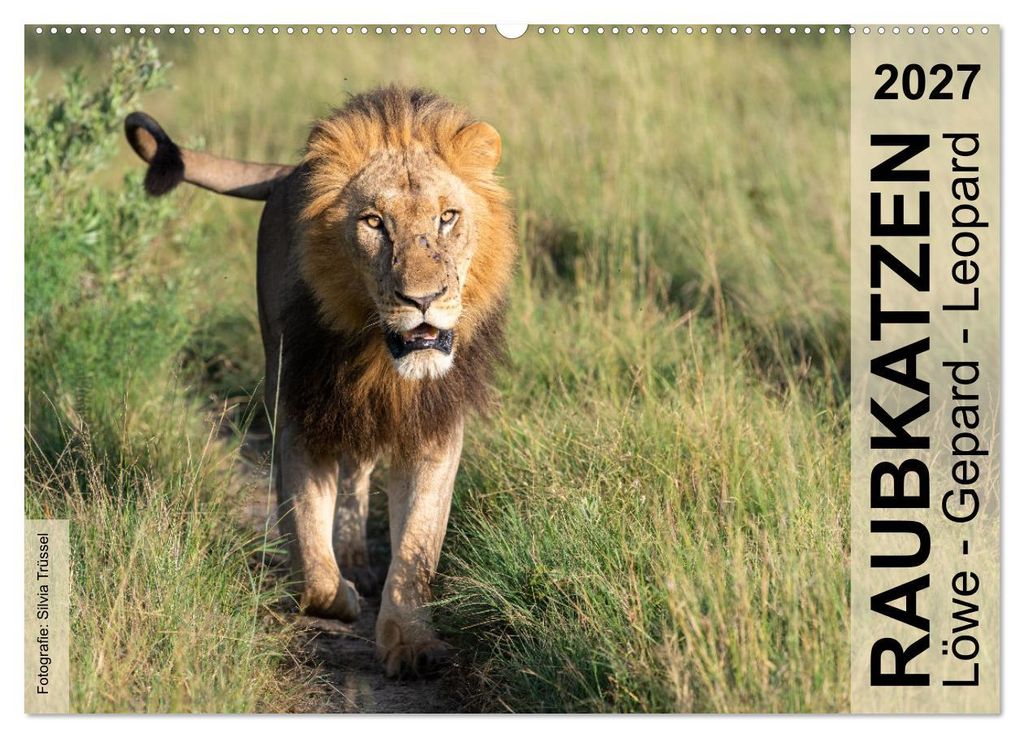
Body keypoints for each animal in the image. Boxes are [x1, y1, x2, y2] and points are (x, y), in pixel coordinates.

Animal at [124, 86, 517, 677]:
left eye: (448, 217)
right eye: (374, 223)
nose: (422, 299)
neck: (379, 357)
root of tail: (288, 172)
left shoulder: (433, 430)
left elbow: (418, 547)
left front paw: (411, 643)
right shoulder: (299, 417)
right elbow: (309, 549)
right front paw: (341, 597)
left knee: (361, 470)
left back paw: (358, 556)